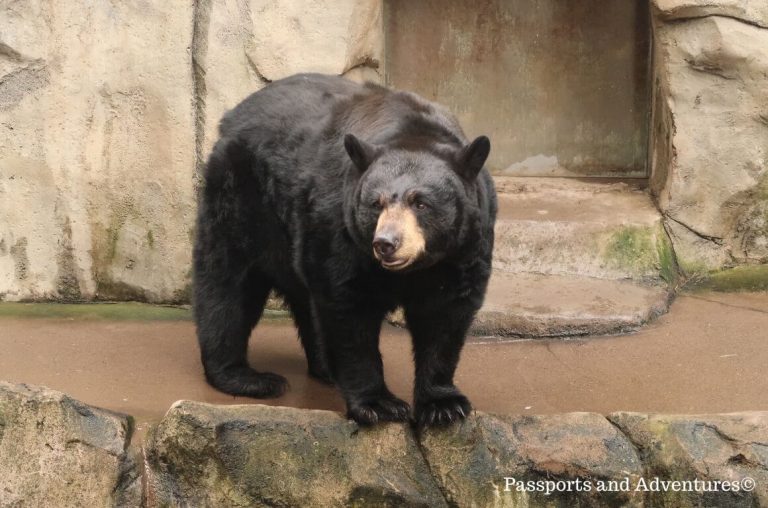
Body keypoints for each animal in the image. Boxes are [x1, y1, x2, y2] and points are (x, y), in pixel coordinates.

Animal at [192, 73, 498, 426]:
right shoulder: (339, 226)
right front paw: (379, 403)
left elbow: (445, 314)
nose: (386, 243)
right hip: (242, 197)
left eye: (420, 202)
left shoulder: (465, 245)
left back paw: (323, 368)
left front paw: (444, 405)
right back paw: (246, 376)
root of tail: (232, 115)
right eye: (376, 203)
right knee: (228, 282)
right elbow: (347, 308)